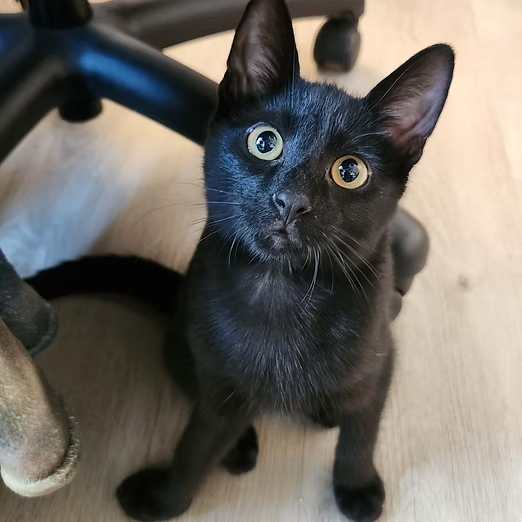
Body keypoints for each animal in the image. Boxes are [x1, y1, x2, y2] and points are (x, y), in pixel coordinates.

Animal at [27, 0, 450, 516]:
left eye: (350, 172)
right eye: (264, 142)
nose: (291, 201)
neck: (281, 289)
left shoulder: (380, 360)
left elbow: (361, 432)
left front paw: (357, 487)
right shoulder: (218, 381)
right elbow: (196, 442)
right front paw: (166, 497)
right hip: (185, 343)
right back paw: (241, 445)